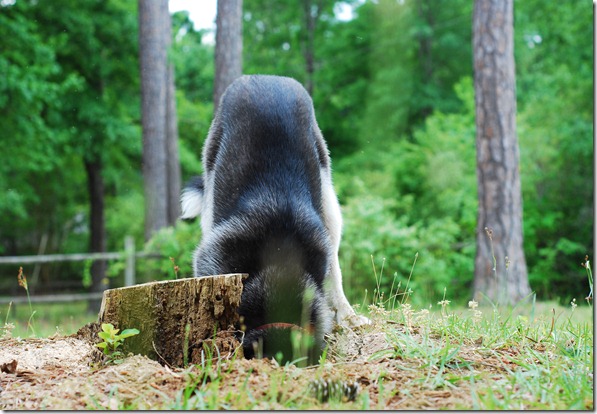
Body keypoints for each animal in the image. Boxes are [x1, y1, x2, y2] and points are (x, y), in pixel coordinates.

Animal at [181, 75, 367, 361]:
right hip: (212, 184)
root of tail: (267, 77)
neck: (281, 266)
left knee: (335, 272)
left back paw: (349, 315)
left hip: (329, 200)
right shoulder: (210, 261)